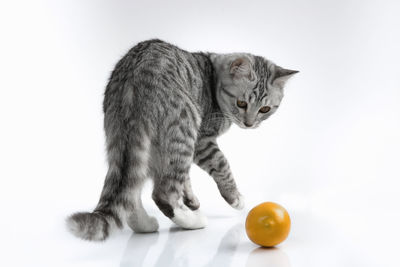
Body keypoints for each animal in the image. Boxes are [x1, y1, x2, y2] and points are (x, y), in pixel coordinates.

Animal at [65, 38, 296, 242]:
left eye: (265, 109)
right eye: (241, 103)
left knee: (132, 189)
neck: (212, 78)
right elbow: (221, 164)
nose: (249, 124)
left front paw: (190, 198)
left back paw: (146, 224)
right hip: (185, 127)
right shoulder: (202, 141)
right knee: (163, 193)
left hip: (131, 142)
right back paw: (193, 221)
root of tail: (133, 82)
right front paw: (234, 197)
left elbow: (185, 180)